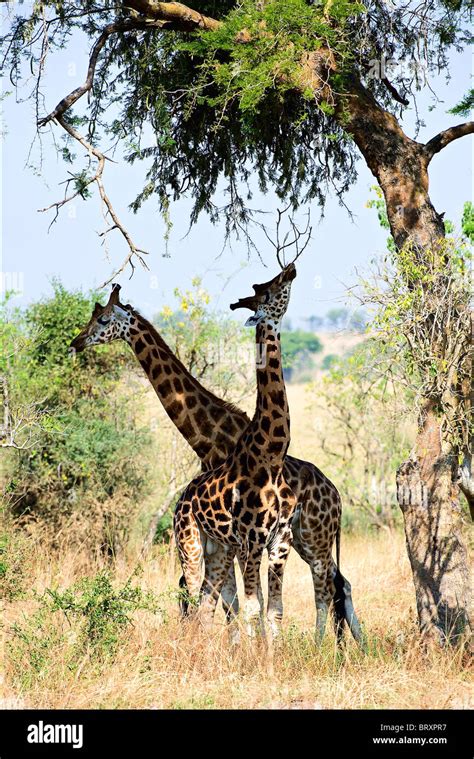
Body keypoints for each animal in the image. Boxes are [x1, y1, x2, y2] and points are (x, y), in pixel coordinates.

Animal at [71, 282, 362, 644]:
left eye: (103, 319)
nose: (77, 341)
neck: (208, 439)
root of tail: (337, 495)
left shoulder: (236, 536)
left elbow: (236, 598)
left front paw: (245, 645)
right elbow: (229, 598)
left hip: (312, 537)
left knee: (329, 586)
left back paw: (332, 645)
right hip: (307, 541)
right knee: (341, 582)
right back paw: (353, 646)